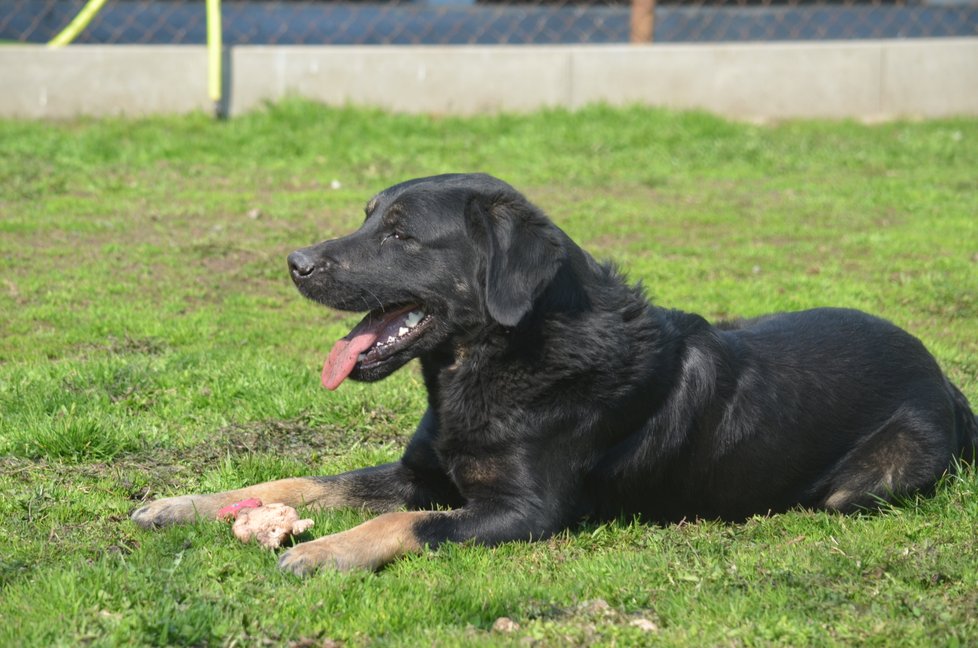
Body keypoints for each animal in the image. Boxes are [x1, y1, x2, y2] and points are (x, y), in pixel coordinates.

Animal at [132, 172, 976, 572]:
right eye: (368, 215)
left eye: (401, 234)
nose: (295, 262)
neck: (501, 361)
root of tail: (948, 383)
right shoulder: (421, 473)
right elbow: (299, 482)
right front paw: (184, 504)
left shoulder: (522, 512)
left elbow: (398, 523)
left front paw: (323, 551)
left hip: (871, 479)